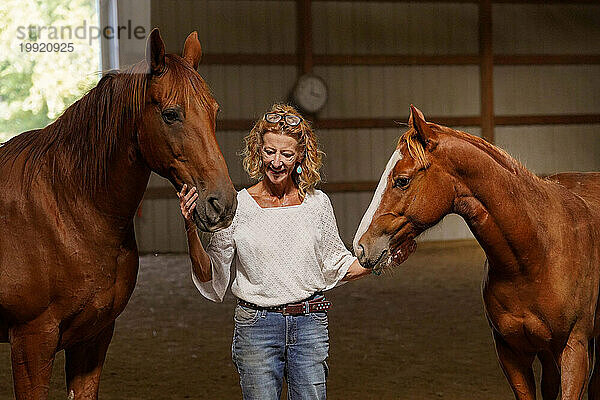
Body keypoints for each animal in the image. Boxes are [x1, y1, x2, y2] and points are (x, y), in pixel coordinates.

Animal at [0, 28, 237, 400]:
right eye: (171, 114)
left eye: (214, 111)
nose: (222, 203)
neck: (68, 210)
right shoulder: (31, 341)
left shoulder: (94, 338)